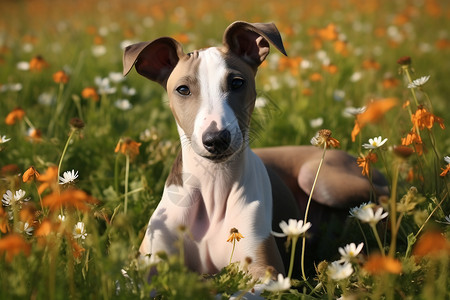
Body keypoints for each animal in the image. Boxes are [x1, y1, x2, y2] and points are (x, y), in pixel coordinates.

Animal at [122, 20, 386, 278]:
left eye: (237, 82)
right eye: (183, 89)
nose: (216, 139)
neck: (213, 188)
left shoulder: (265, 270)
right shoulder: (145, 263)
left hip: (320, 179)